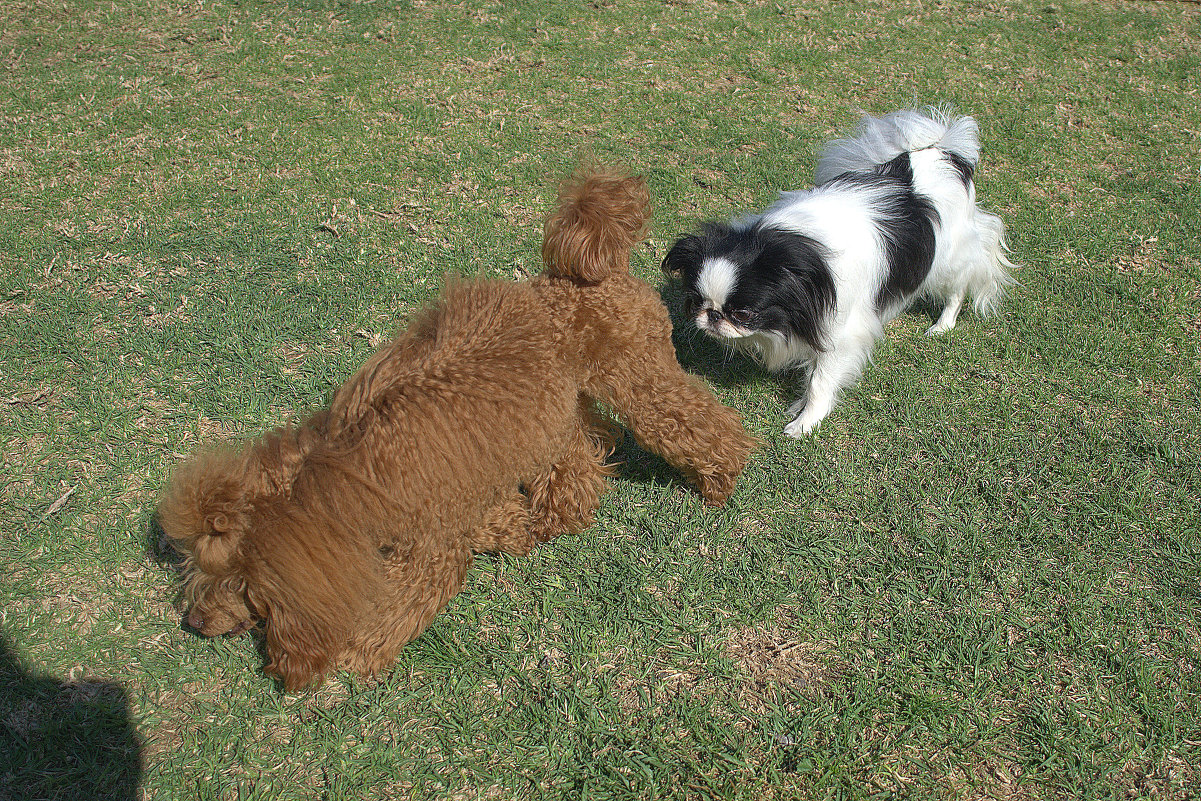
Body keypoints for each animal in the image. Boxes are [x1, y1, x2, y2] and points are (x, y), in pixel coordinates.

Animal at [157, 168, 759, 691]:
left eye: (239, 583)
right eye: (194, 569)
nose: (193, 623)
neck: (349, 482)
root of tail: (591, 270)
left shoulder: (431, 548)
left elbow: (403, 603)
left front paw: (358, 656)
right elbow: (495, 521)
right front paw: (517, 531)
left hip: (636, 378)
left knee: (692, 422)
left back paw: (720, 477)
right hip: (557, 407)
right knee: (582, 454)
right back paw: (561, 510)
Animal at [667, 108, 1013, 439]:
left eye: (742, 313)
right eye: (696, 302)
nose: (712, 317)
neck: (800, 259)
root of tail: (944, 151)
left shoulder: (841, 332)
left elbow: (820, 381)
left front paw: (805, 422)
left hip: (950, 256)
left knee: (959, 287)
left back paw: (943, 325)